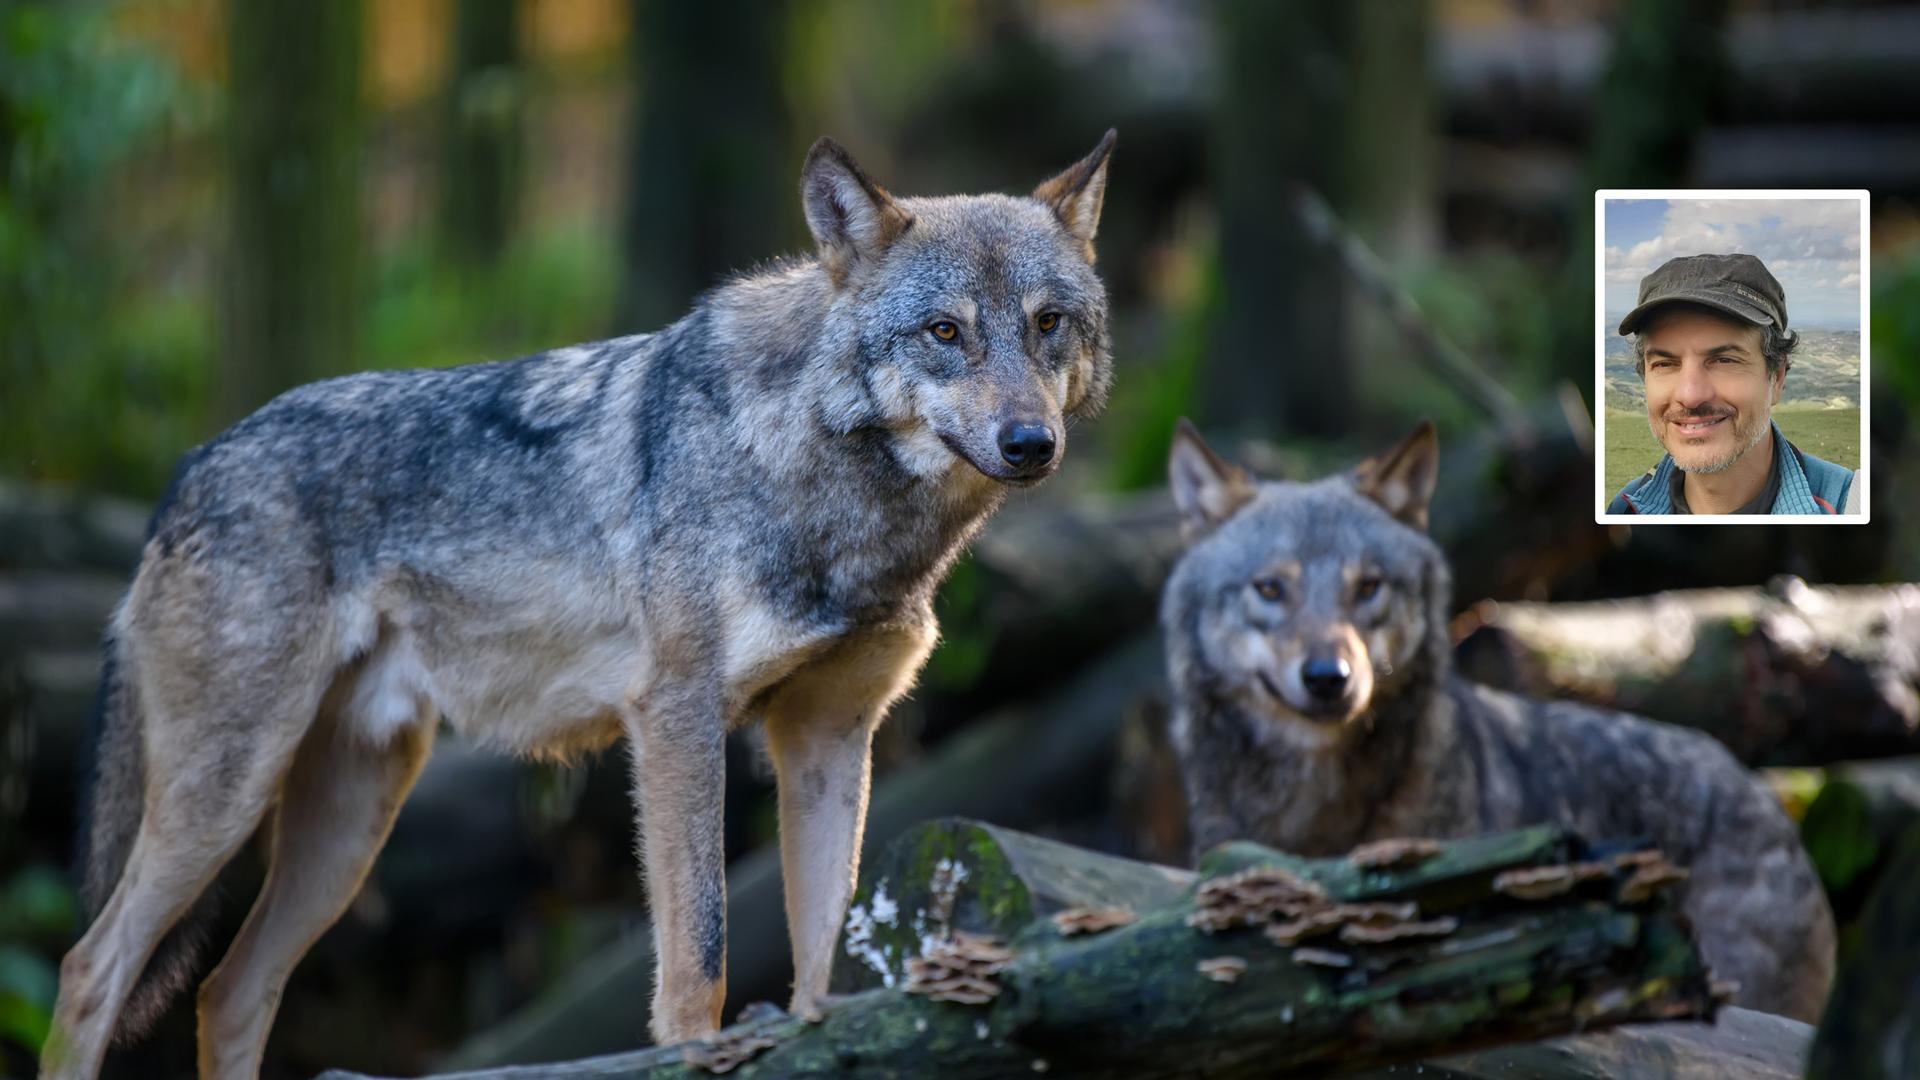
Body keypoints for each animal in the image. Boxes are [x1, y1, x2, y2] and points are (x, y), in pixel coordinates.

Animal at [45, 130, 1121, 1068]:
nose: (1032, 444)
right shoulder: (676, 719)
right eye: (945, 332)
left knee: (229, 992)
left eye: (1047, 323)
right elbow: (700, 961)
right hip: (225, 797)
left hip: (347, 825)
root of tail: (188, 469)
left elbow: (823, 965)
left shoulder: (828, 739)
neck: (827, 486)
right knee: (90, 970)